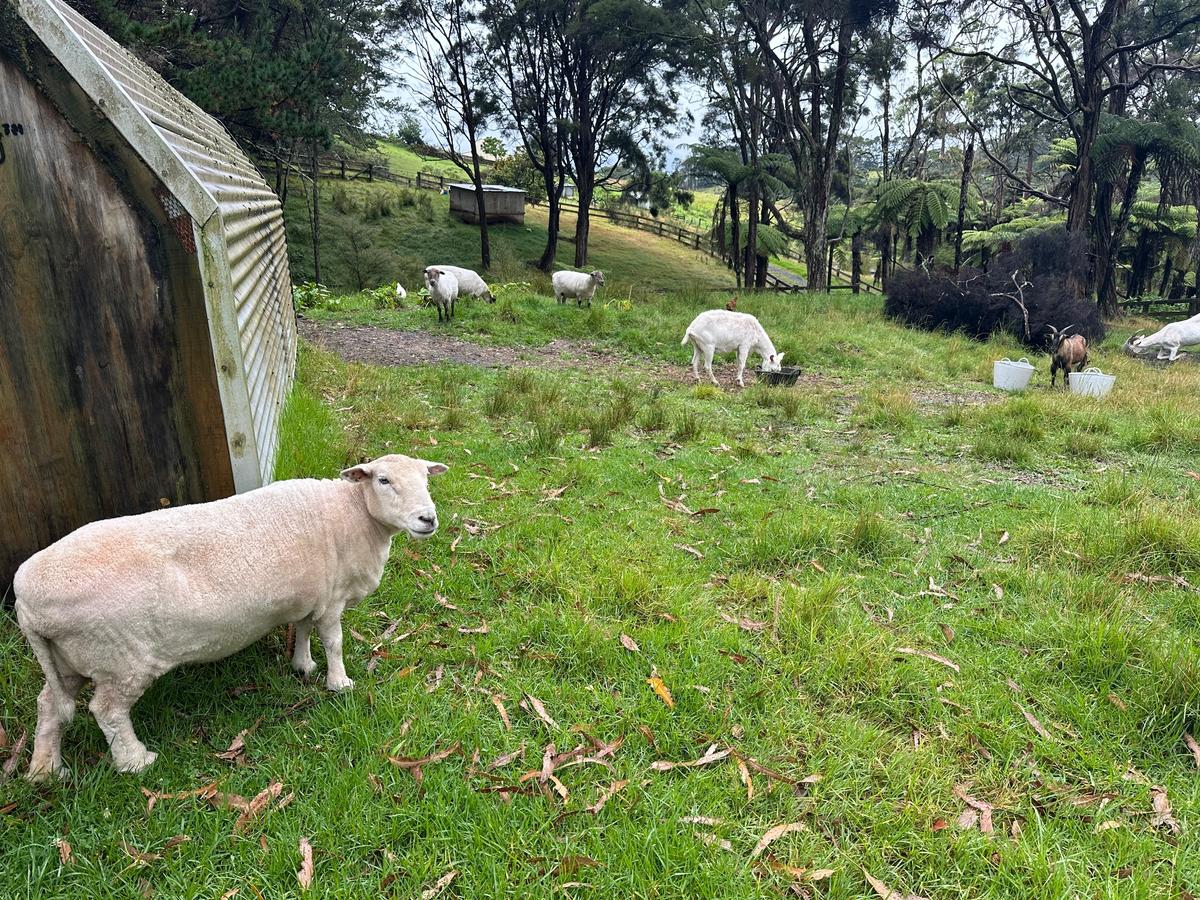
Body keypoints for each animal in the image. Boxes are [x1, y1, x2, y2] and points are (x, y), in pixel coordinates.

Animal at [13, 454, 447, 779]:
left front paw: (303, 666)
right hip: (120, 659)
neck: (354, 514)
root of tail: (25, 600)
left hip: (70, 657)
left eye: (426, 478)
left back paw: (46, 770)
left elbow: (302, 629)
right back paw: (136, 762)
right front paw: (339, 683)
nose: (428, 519)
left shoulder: (311, 594)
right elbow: (333, 641)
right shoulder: (331, 598)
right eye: (383, 480)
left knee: (49, 705)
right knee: (108, 711)